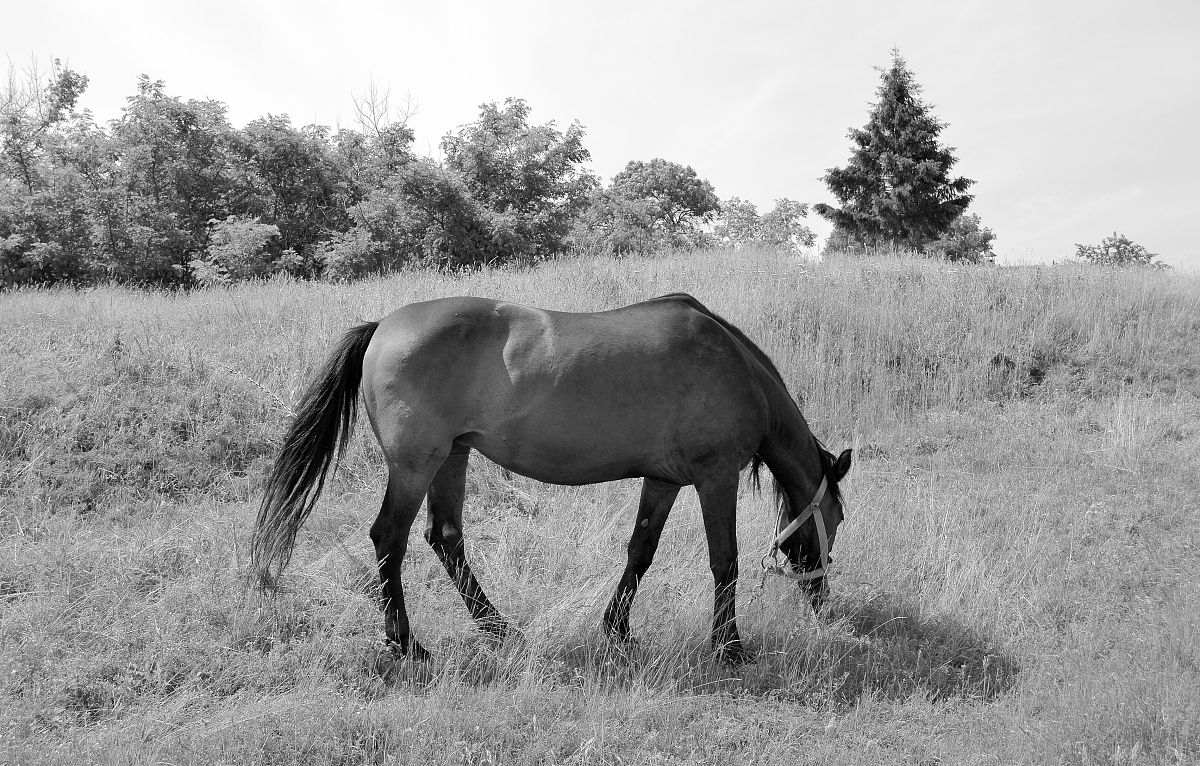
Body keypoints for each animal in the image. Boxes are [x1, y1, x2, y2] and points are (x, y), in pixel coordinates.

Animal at [251, 293, 851, 661]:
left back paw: (497, 628)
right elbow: (724, 560)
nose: (822, 600)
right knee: (389, 540)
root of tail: (384, 327)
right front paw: (729, 647)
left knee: (444, 537)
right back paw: (406, 644)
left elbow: (640, 551)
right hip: (415, 466)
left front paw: (617, 630)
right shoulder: (715, 478)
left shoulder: (663, 481)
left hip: (451, 458)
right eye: (836, 518)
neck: (738, 370)